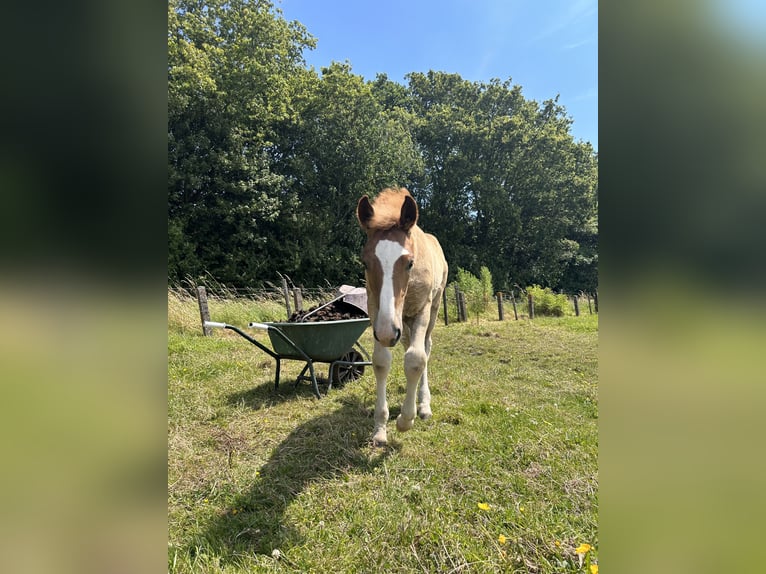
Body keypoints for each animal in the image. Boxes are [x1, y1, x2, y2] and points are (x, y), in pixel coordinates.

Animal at [358, 190, 450, 450]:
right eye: (365, 262)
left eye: (410, 263)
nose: (388, 333)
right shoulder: (376, 311)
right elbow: (381, 362)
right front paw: (380, 429)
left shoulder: (422, 310)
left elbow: (417, 359)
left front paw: (406, 419)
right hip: (402, 323)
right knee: (409, 343)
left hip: (432, 310)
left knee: (425, 348)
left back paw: (424, 404)